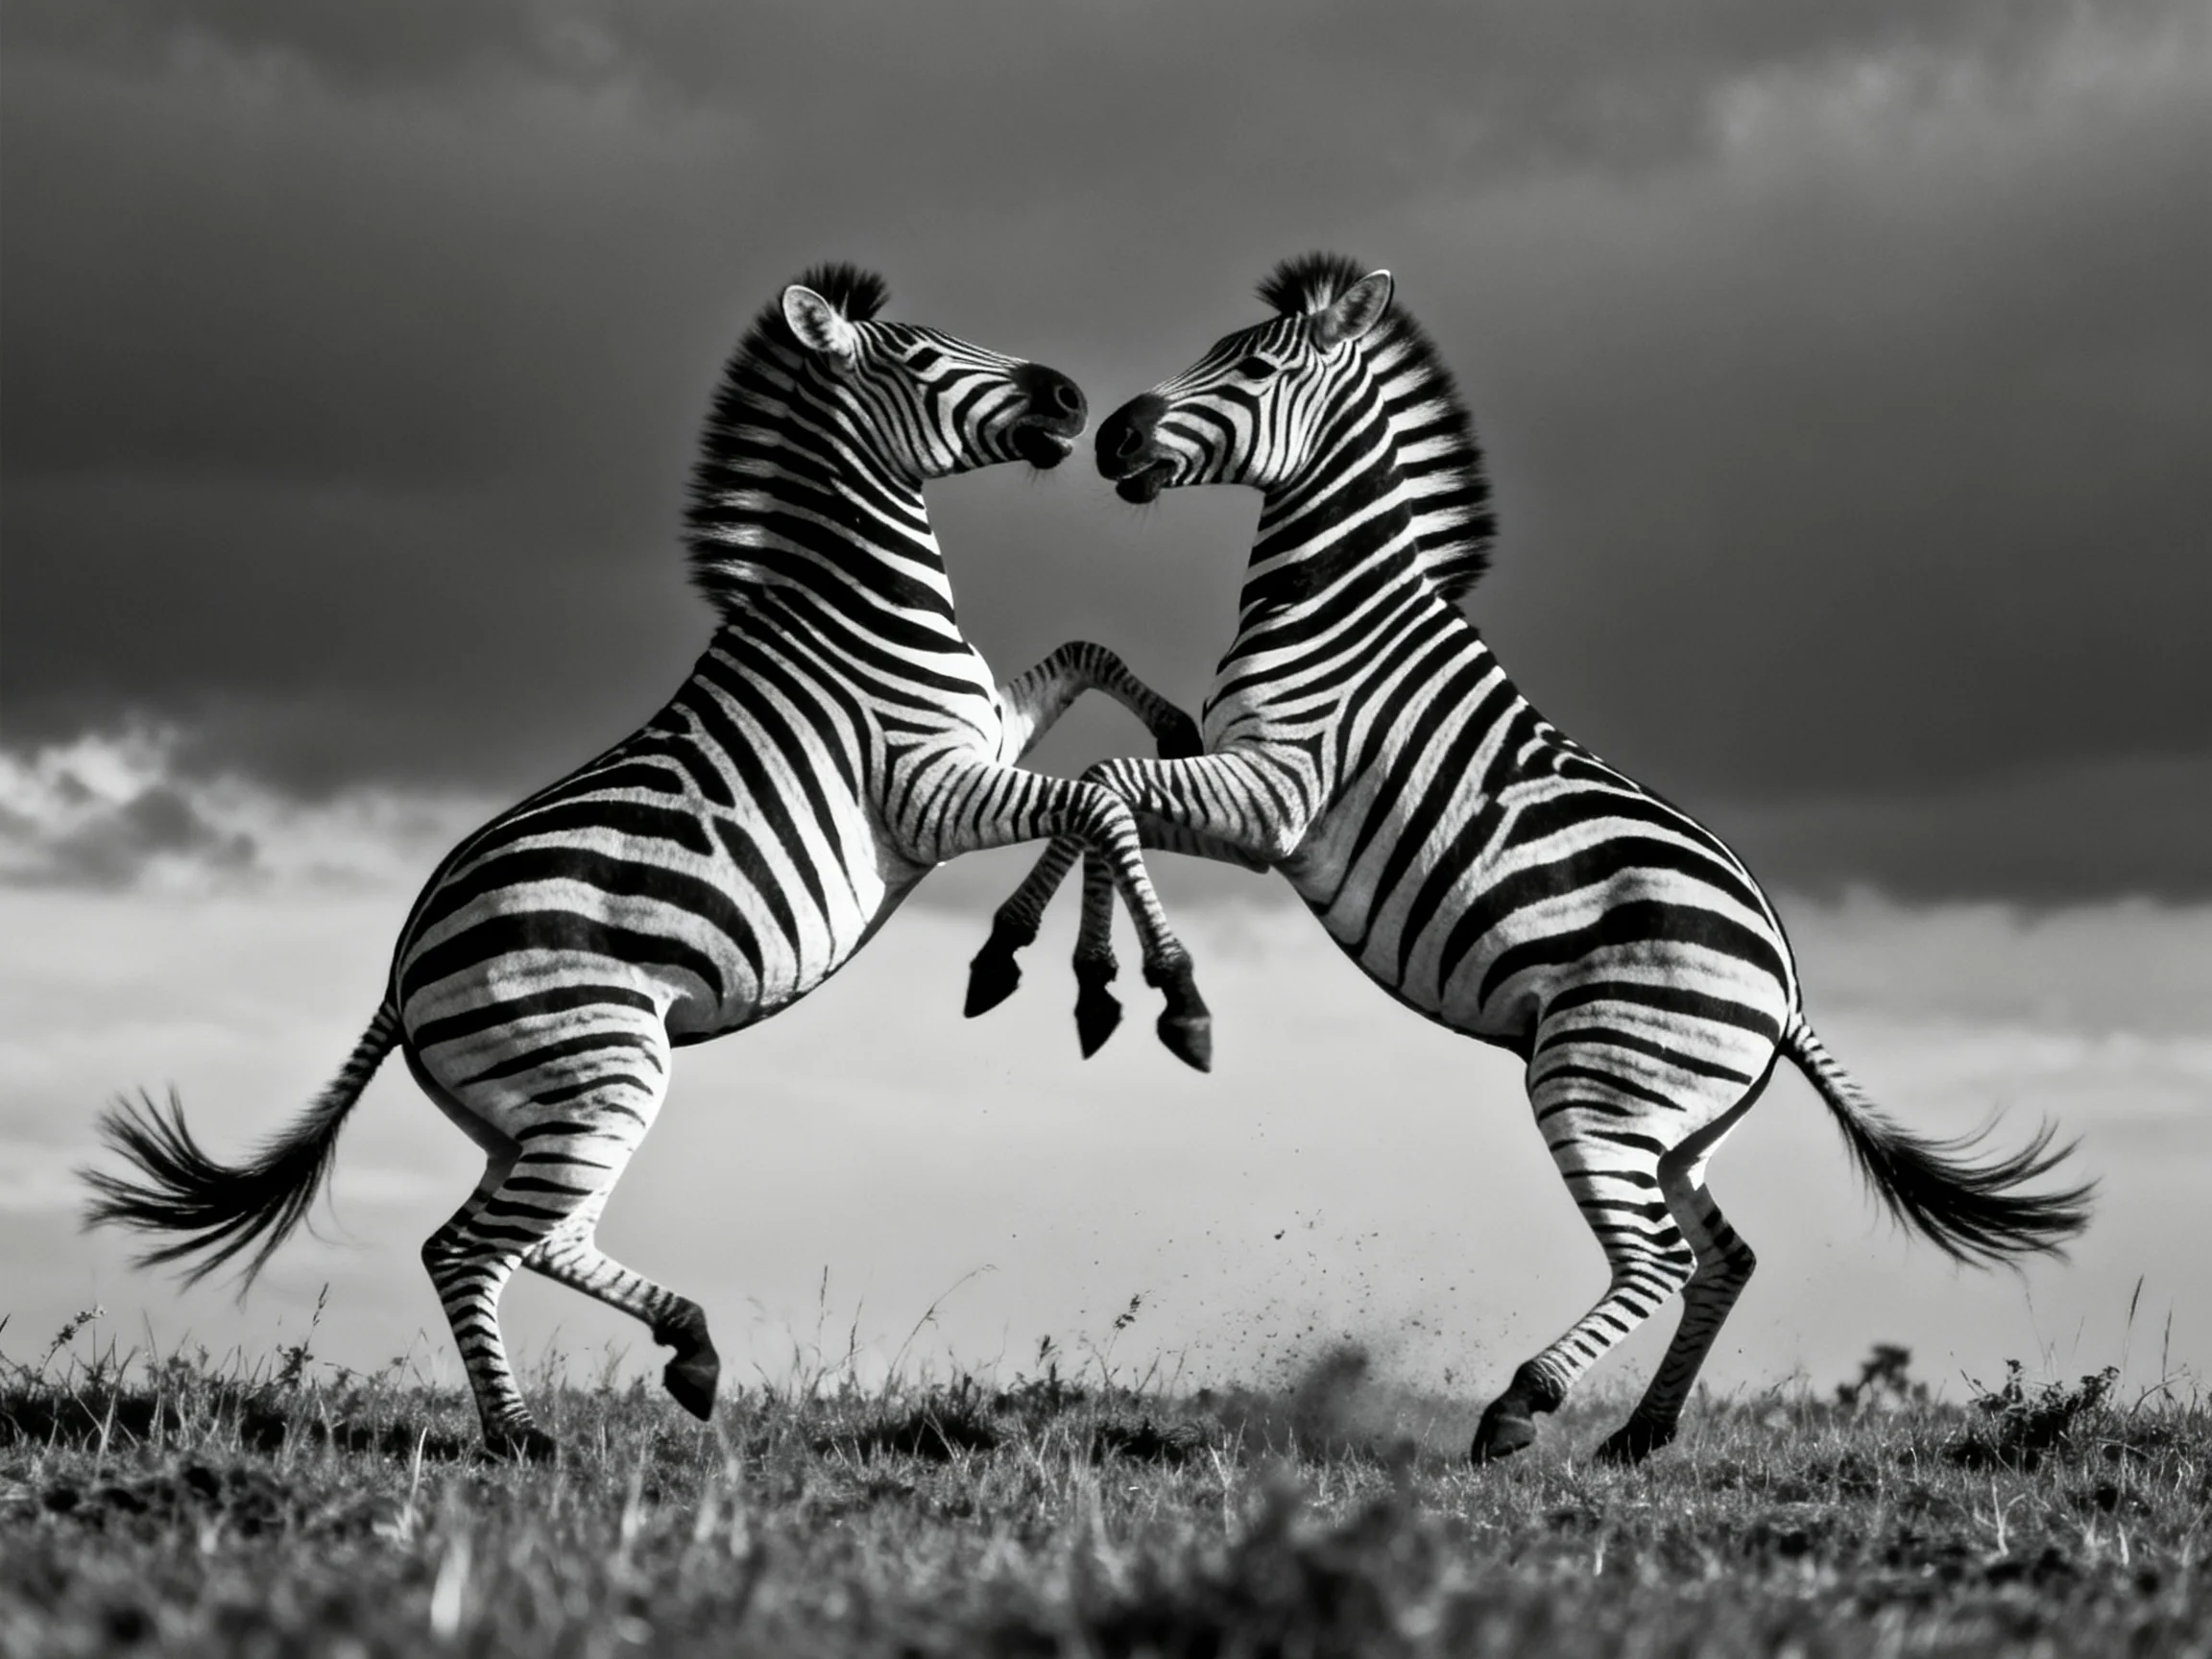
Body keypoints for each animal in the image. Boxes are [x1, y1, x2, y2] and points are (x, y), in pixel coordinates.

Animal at [82, 265, 1212, 1460]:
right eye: (917, 356)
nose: (1076, 395)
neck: (855, 607)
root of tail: (400, 970)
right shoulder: (928, 791)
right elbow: (1097, 802)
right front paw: (1153, 994)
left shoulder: (982, 739)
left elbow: (1090, 671)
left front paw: (1168, 745)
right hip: (605, 1073)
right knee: (470, 1248)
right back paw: (523, 1434)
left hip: (535, 1109)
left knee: (524, 1240)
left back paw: (687, 1352)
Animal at [966, 253, 2094, 1463]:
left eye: (1256, 368)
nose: (1110, 436)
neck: (1336, 605)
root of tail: (1787, 990)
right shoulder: (1237, 783)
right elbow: (1101, 792)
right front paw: (1051, 972)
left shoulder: (1277, 794)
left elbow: (1101, 788)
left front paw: (1131, 991)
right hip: (1672, 1124)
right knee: (1727, 1256)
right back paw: (1640, 1434)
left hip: (1591, 1083)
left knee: (1658, 1258)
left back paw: (1520, 1406)